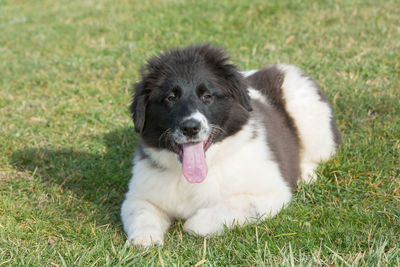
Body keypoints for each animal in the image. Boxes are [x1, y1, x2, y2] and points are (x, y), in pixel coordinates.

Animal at [120, 44, 340, 247]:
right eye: (170, 98)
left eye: (207, 96)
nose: (190, 127)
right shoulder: (139, 195)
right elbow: (141, 212)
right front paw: (144, 239)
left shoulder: (272, 193)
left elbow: (220, 213)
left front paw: (191, 223)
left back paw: (306, 174)